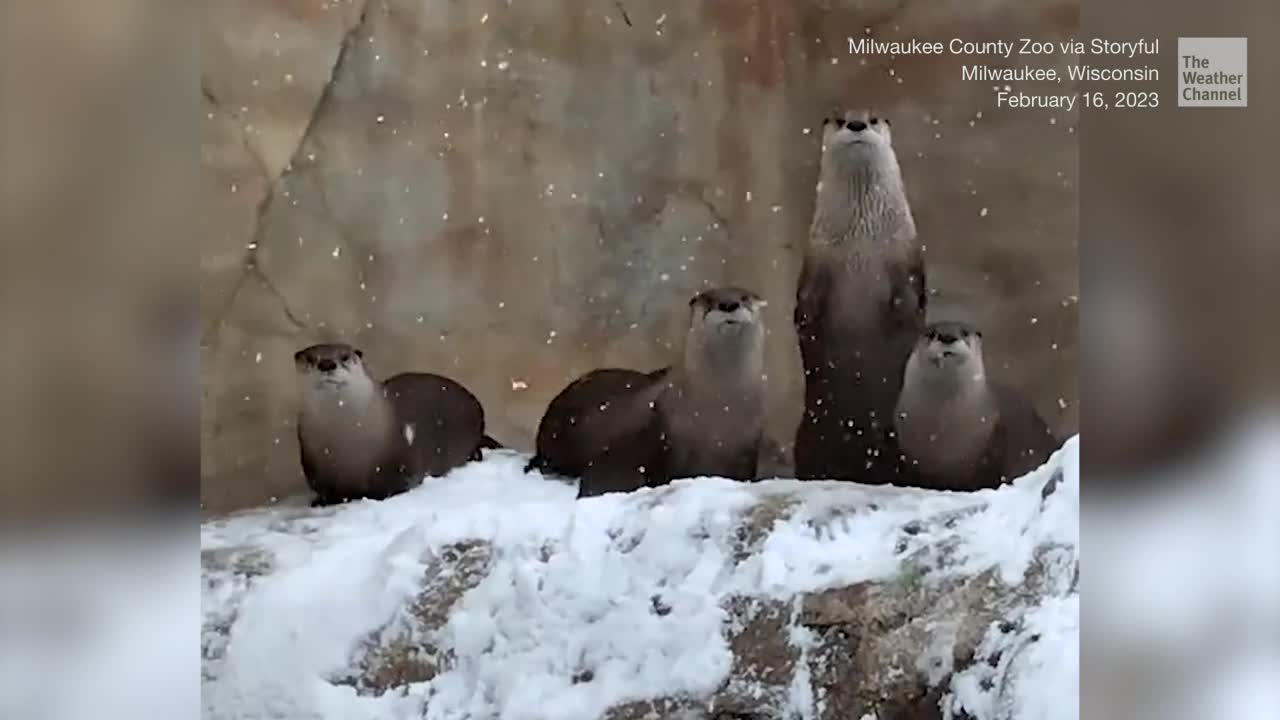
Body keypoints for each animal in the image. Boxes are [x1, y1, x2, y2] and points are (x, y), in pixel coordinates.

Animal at [293, 343, 495, 506]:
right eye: (310, 358)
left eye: (344, 356)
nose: (327, 364)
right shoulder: (313, 463)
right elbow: (325, 488)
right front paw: (321, 501)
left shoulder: (400, 458)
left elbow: (397, 483)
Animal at [527, 287, 769, 498]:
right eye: (709, 299)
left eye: (744, 297)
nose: (728, 304)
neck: (718, 408)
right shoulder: (659, 432)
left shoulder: (747, 448)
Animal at [793, 108, 926, 484]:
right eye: (839, 119)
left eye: (873, 118)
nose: (856, 124)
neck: (860, 247)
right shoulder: (817, 262)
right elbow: (804, 303)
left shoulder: (905, 260)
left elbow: (911, 300)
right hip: (807, 434)